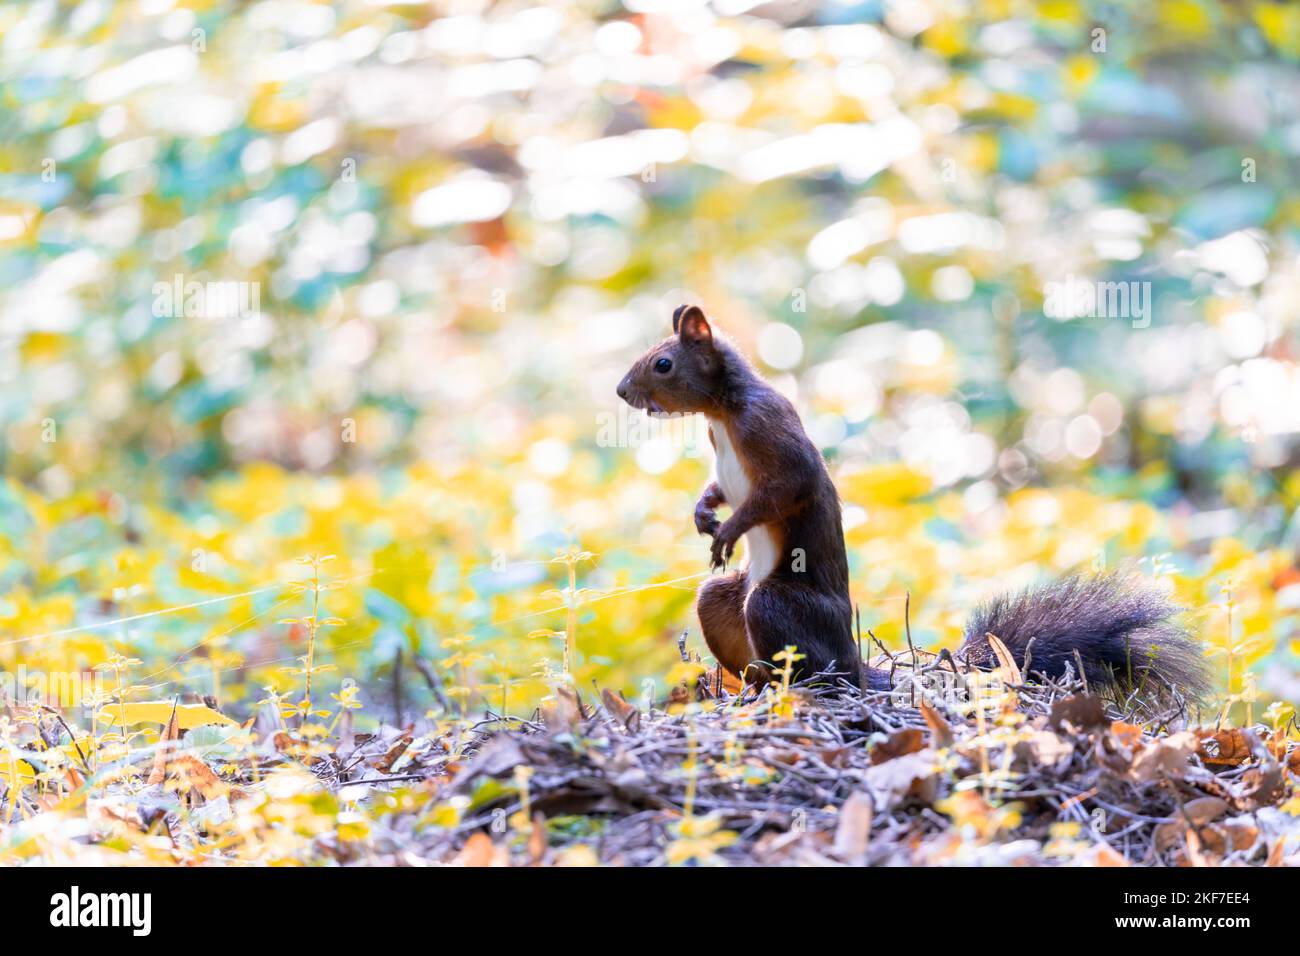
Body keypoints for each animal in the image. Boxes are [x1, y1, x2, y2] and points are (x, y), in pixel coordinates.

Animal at [616, 304, 1210, 703]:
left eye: (663, 363)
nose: (623, 392)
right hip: (725, 602)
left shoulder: (771, 432)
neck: (721, 413)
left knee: (808, 663)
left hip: (777, 605)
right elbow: (719, 488)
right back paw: (748, 690)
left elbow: (789, 485)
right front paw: (704, 511)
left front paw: (729, 530)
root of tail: (851, 660)